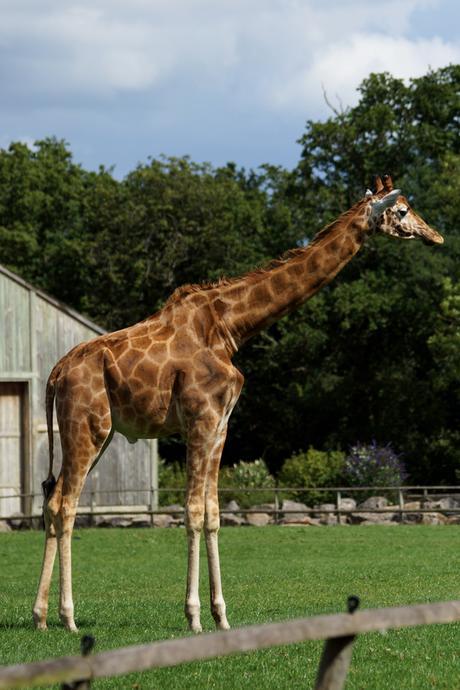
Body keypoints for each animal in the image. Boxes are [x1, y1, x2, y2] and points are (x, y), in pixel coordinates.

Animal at [31, 172, 442, 628]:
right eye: (402, 210)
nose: (435, 236)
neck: (232, 327)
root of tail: (55, 374)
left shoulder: (221, 425)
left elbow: (213, 514)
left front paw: (221, 616)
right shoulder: (201, 419)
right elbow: (192, 511)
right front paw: (193, 617)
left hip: (96, 434)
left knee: (52, 500)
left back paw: (41, 616)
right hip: (86, 427)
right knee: (66, 504)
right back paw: (67, 616)